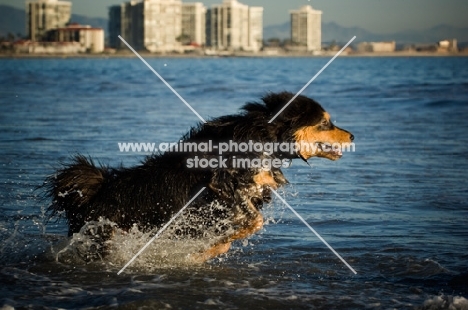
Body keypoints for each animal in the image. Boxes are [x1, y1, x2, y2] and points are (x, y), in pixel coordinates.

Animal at [44, 92, 352, 262]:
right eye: (325, 123)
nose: (352, 136)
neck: (265, 135)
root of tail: (90, 193)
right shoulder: (223, 184)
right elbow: (252, 221)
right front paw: (214, 244)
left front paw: (214, 245)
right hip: (101, 236)